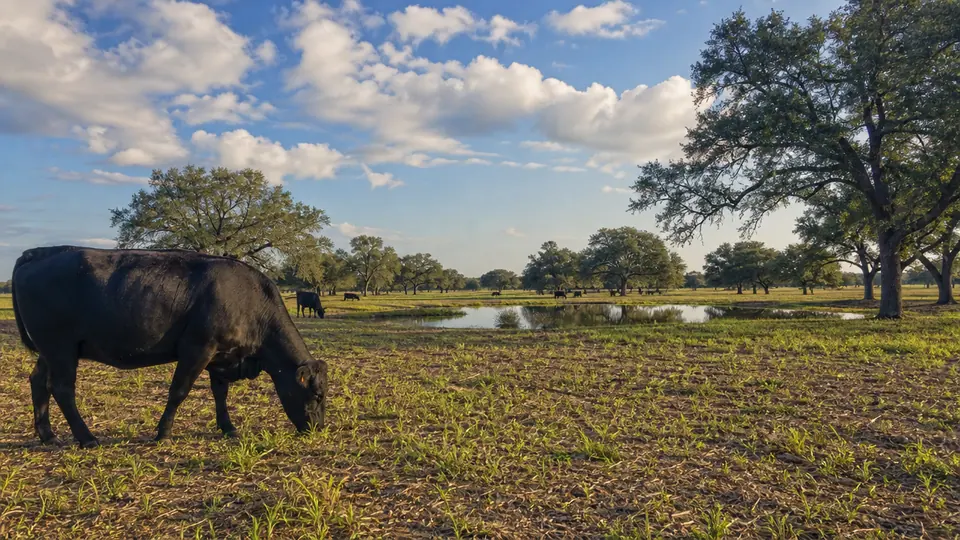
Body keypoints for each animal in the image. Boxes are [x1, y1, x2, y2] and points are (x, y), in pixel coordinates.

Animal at [11, 246, 328, 448]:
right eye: (317, 394)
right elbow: (179, 391)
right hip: (60, 348)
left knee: (38, 381)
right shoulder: (198, 348)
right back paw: (87, 438)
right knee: (63, 389)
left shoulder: (221, 356)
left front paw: (228, 427)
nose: (318, 429)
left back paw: (48, 436)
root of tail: (37, 253)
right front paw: (163, 433)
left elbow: (220, 393)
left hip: (50, 351)